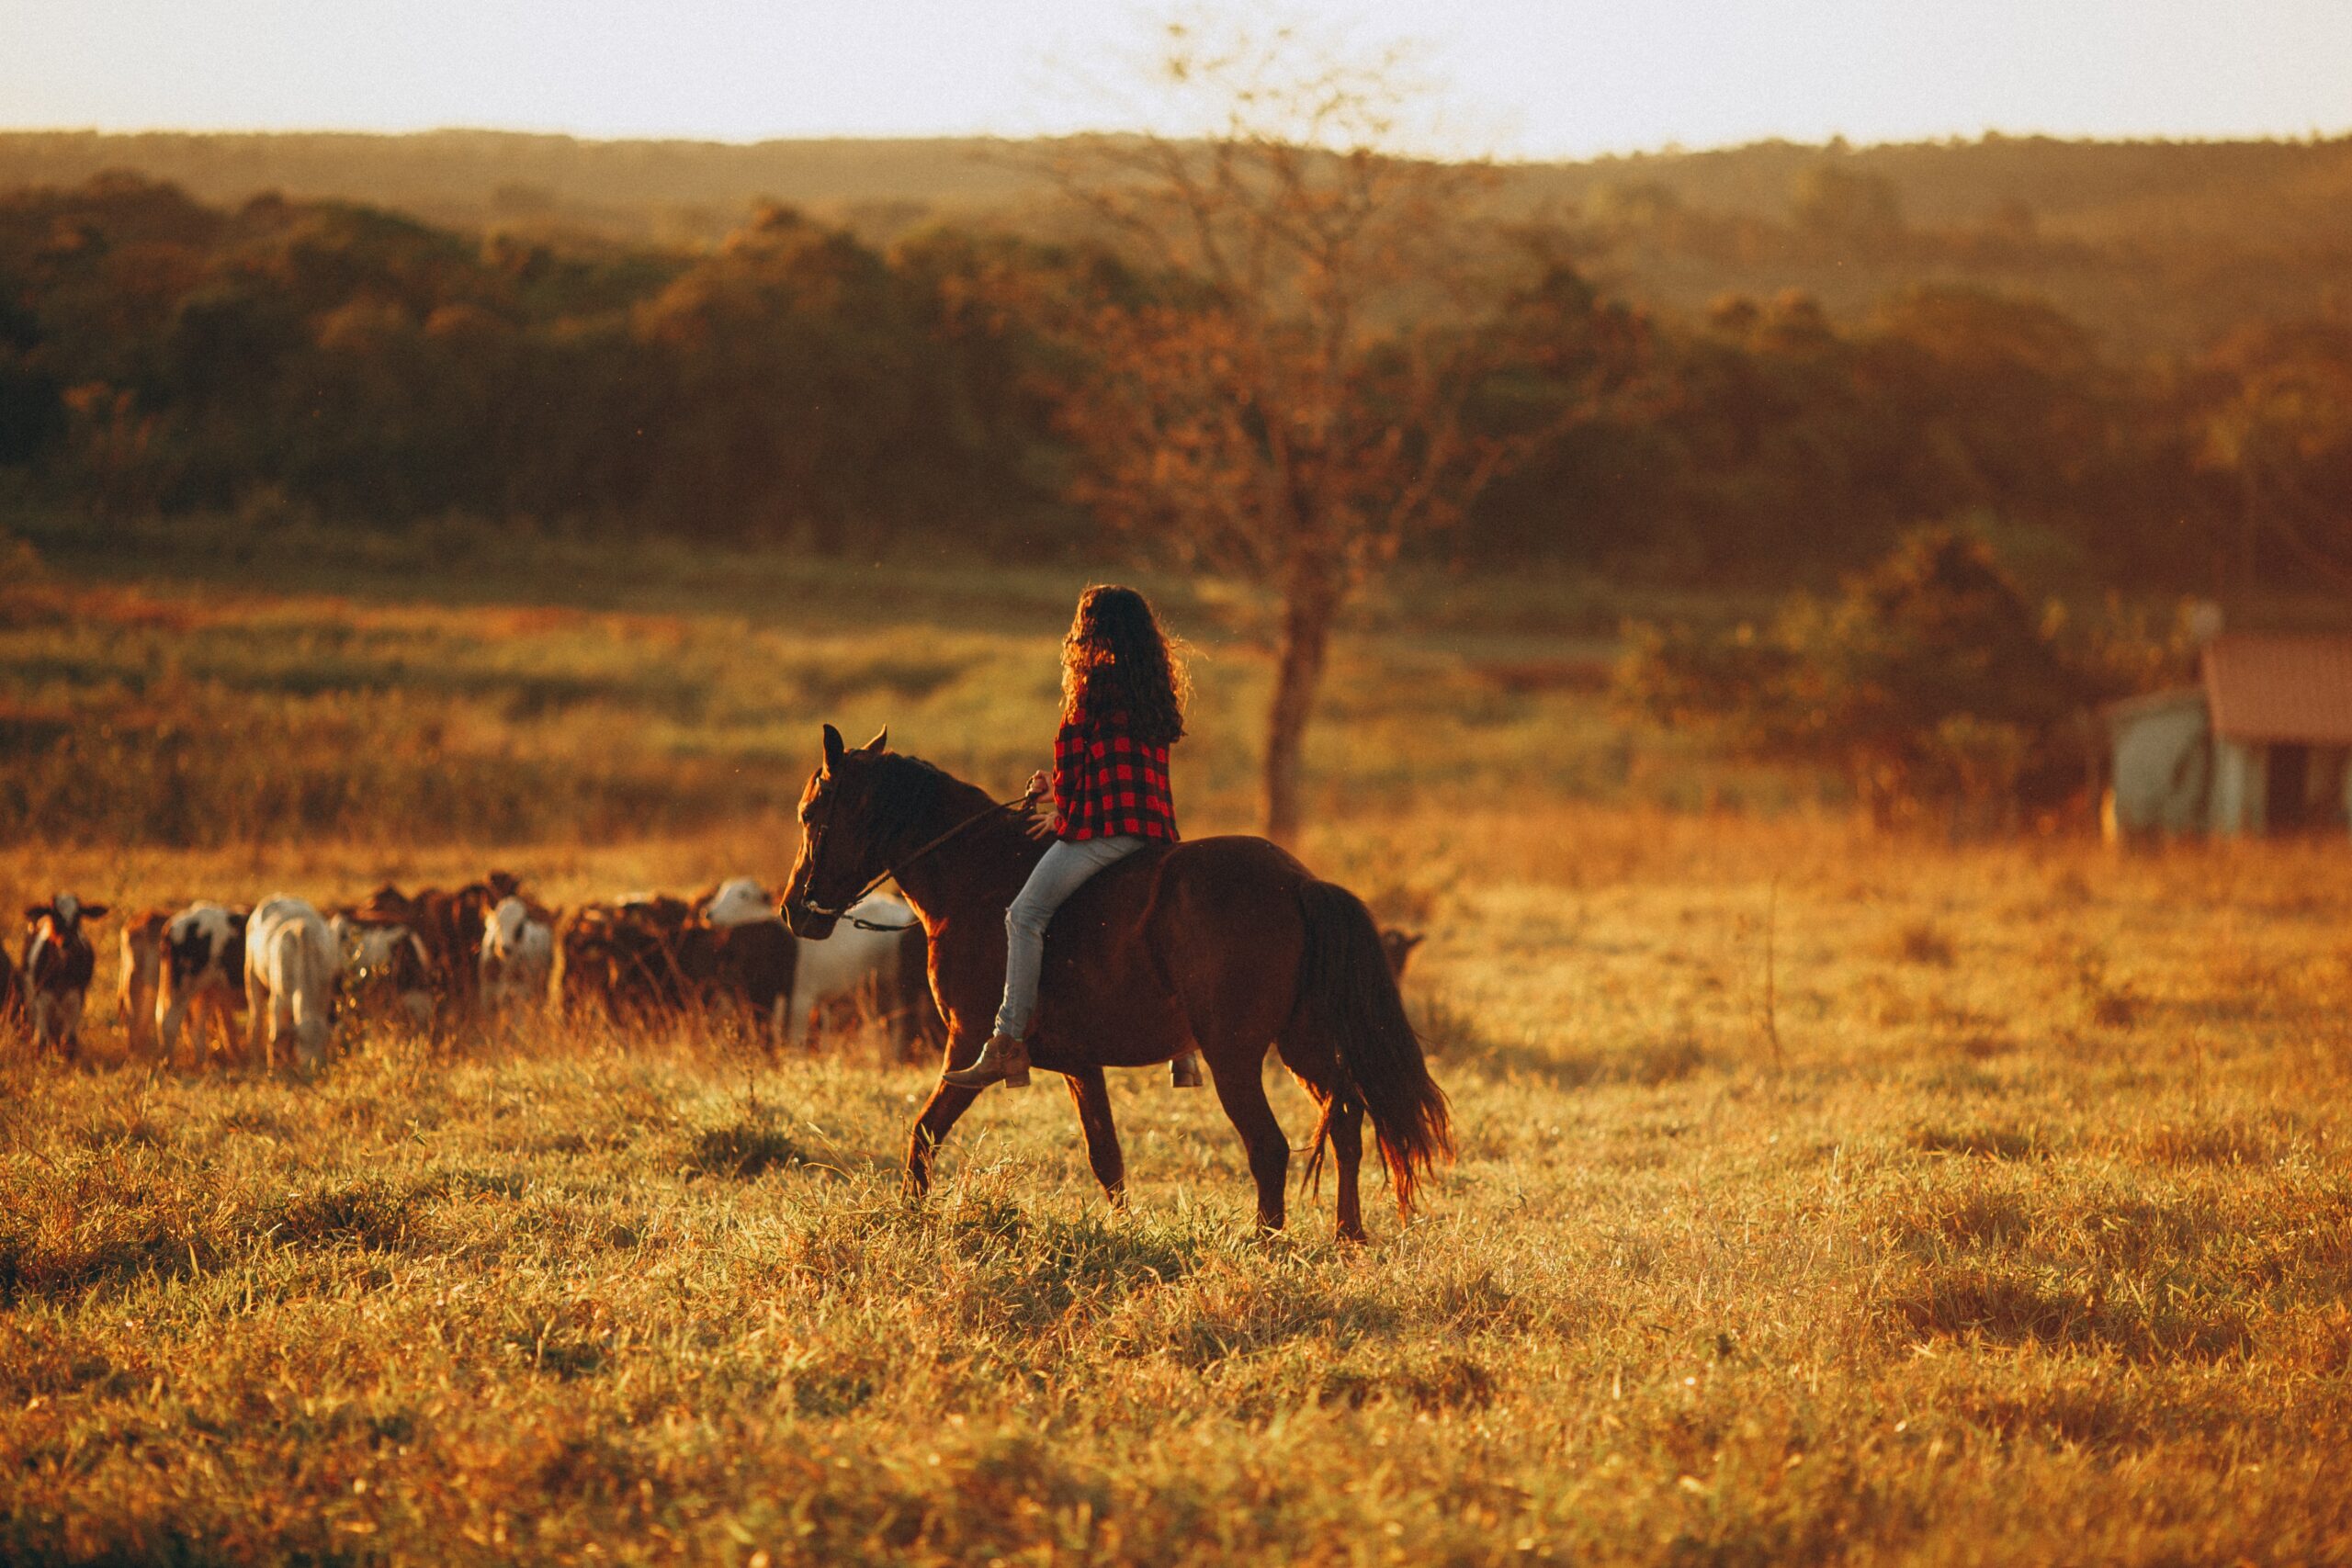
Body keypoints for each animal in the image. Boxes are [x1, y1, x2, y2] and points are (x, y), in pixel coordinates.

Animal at [244, 902, 341, 1072]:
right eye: (301, 1040)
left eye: (324, 1041)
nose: (315, 1065)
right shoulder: (277, 1001)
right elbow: (275, 1035)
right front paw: (273, 1068)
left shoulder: (324, 996)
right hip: (251, 973)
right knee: (256, 1019)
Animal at [786, 728, 1448, 1241]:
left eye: (811, 815)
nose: (795, 910)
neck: (976, 879)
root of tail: (1298, 882)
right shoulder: (1081, 1066)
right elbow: (1108, 1158)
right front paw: (1124, 1230)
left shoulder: (969, 1044)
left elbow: (923, 1133)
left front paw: (909, 1218)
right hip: (1301, 1045)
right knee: (1347, 1119)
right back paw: (1348, 1235)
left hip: (1235, 1056)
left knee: (1270, 1146)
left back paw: (1267, 1242)